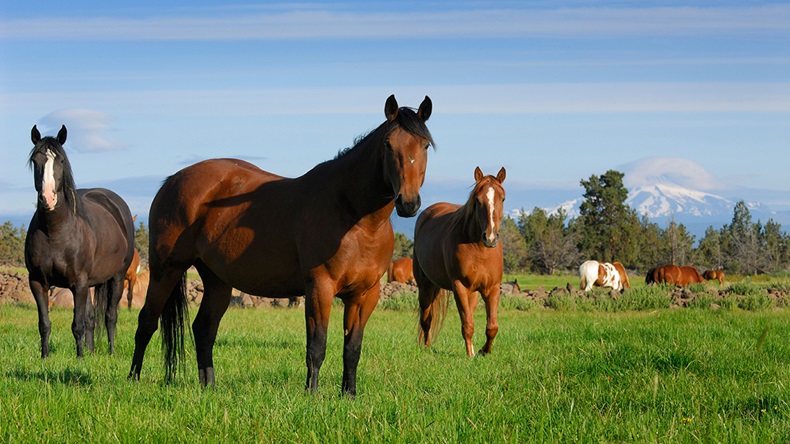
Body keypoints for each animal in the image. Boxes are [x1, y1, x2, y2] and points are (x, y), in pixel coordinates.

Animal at [25, 125, 135, 358]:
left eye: (61, 160)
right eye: (36, 160)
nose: (48, 198)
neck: (55, 232)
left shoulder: (79, 282)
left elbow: (77, 325)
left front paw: (80, 358)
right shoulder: (37, 281)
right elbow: (45, 324)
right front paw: (45, 357)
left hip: (117, 278)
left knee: (110, 316)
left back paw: (110, 352)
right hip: (91, 284)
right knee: (91, 318)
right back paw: (92, 352)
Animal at [128, 95, 433, 396]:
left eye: (425, 145)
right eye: (388, 144)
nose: (408, 203)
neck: (355, 218)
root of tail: (172, 181)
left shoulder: (365, 295)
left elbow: (352, 348)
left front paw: (349, 395)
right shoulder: (319, 288)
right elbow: (317, 346)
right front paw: (312, 395)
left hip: (216, 280)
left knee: (204, 329)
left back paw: (209, 387)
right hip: (166, 270)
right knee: (146, 323)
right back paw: (133, 379)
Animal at [414, 166, 506, 357]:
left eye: (502, 198)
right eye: (477, 200)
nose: (490, 238)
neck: (480, 249)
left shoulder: (492, 288)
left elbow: (492, 327)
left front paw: (483, 351)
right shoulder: (460, 287)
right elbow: (467, 325)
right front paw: (470, 355)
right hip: (426, 286)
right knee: (426, 319)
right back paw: (426, 348)